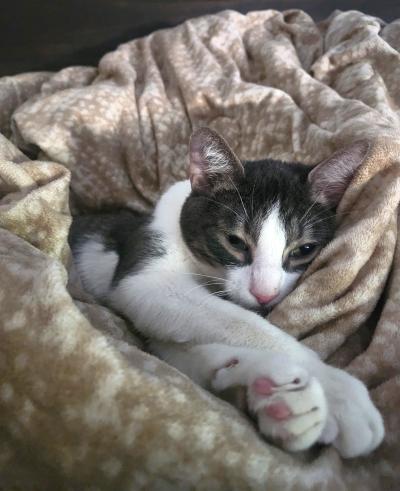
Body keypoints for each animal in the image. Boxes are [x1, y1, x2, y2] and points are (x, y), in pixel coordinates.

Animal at [69, 127, 384, 458]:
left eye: (304, 250)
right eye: (235, 242)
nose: (264, 294)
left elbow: (183, 352)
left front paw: (275, 395)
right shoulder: (149, 276)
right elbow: (242, 323)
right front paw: (340, 392)